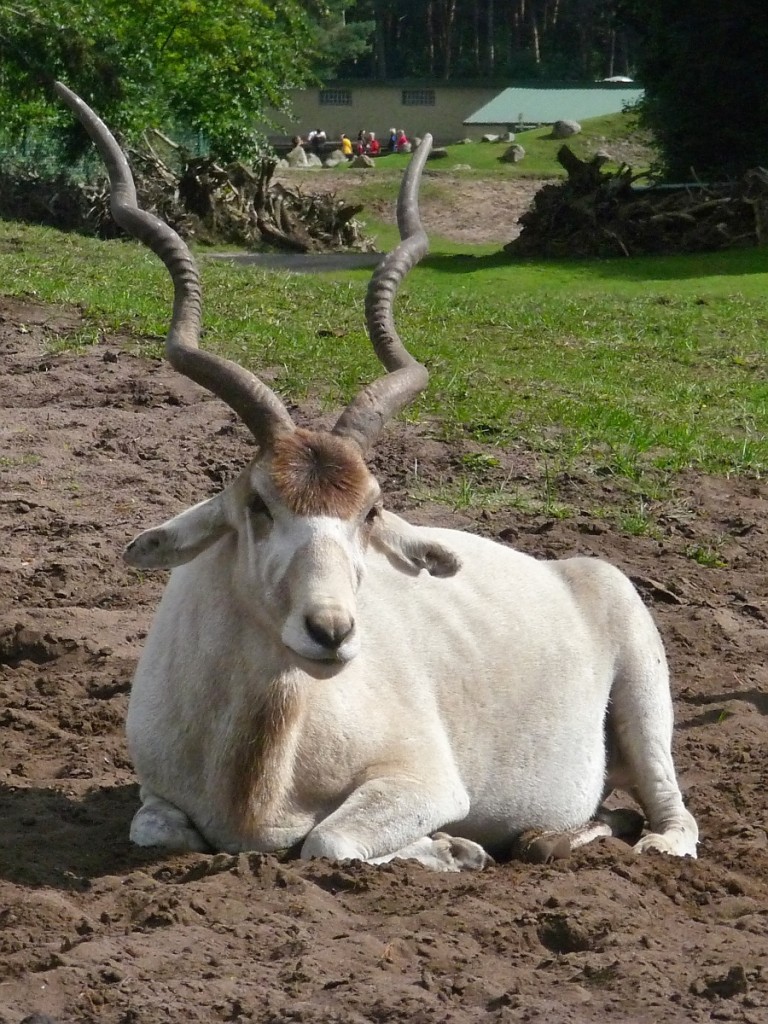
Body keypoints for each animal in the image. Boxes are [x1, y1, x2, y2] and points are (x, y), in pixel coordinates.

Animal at [57, 86, 700, 872]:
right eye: (259, 505)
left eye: (370, 510)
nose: (331, 632)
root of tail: (575, 569)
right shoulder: (156, 795)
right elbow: (158, 830)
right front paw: (457, 849)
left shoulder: (426, 781)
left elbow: (326, 841)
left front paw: (453, 849)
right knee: (607, 812)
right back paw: (547, 837)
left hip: (645, 706)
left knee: (669, 817)